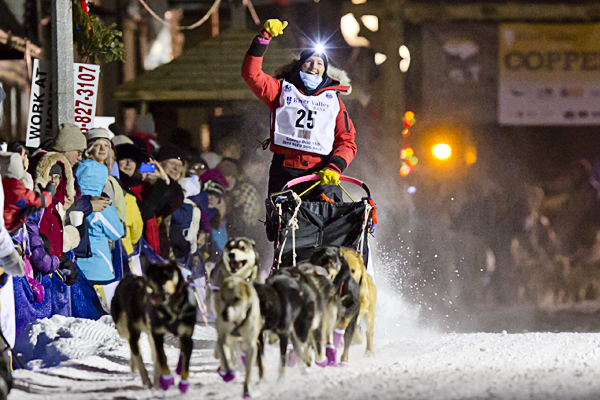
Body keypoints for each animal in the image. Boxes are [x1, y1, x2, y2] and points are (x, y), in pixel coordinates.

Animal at [110, 260, 197, 394]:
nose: (160, 296)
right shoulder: (139, 334)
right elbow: (140, 358)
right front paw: (147, 380)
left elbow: (160, 358)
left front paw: (159, 381)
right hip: (123, 328)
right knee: (132, 346)